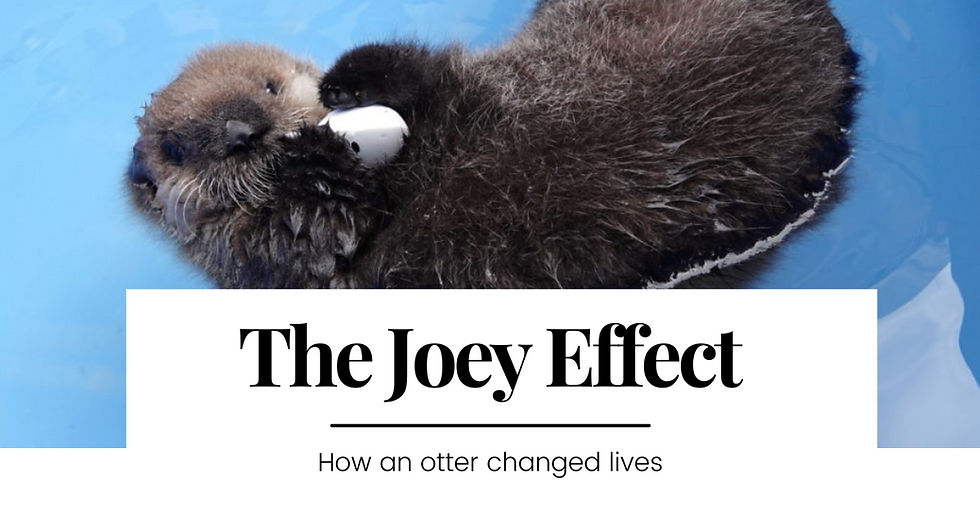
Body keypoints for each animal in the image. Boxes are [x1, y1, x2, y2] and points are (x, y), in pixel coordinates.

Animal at [128, 0, 859, 288]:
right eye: (177, 146)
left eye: (271, 85)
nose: (243, 132)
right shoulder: (280, 265)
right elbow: (316, 237)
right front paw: (311, 163)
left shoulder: (449, 87)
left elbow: (417, 73)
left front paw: (347, 81)